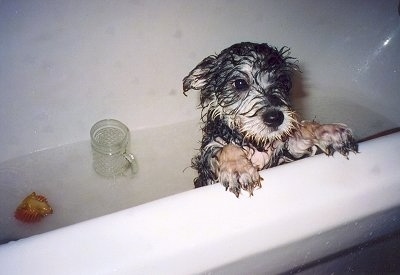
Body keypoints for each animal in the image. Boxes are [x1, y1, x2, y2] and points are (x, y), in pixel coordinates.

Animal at [183, 42, 358, 197]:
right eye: (240, 83)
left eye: (281, 82)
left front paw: (328, 131)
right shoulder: (208, 165)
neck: (255, 141)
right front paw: (238, 168)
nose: (275, 118)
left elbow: (301, 129)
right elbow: (226, 147)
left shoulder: (285, 152)